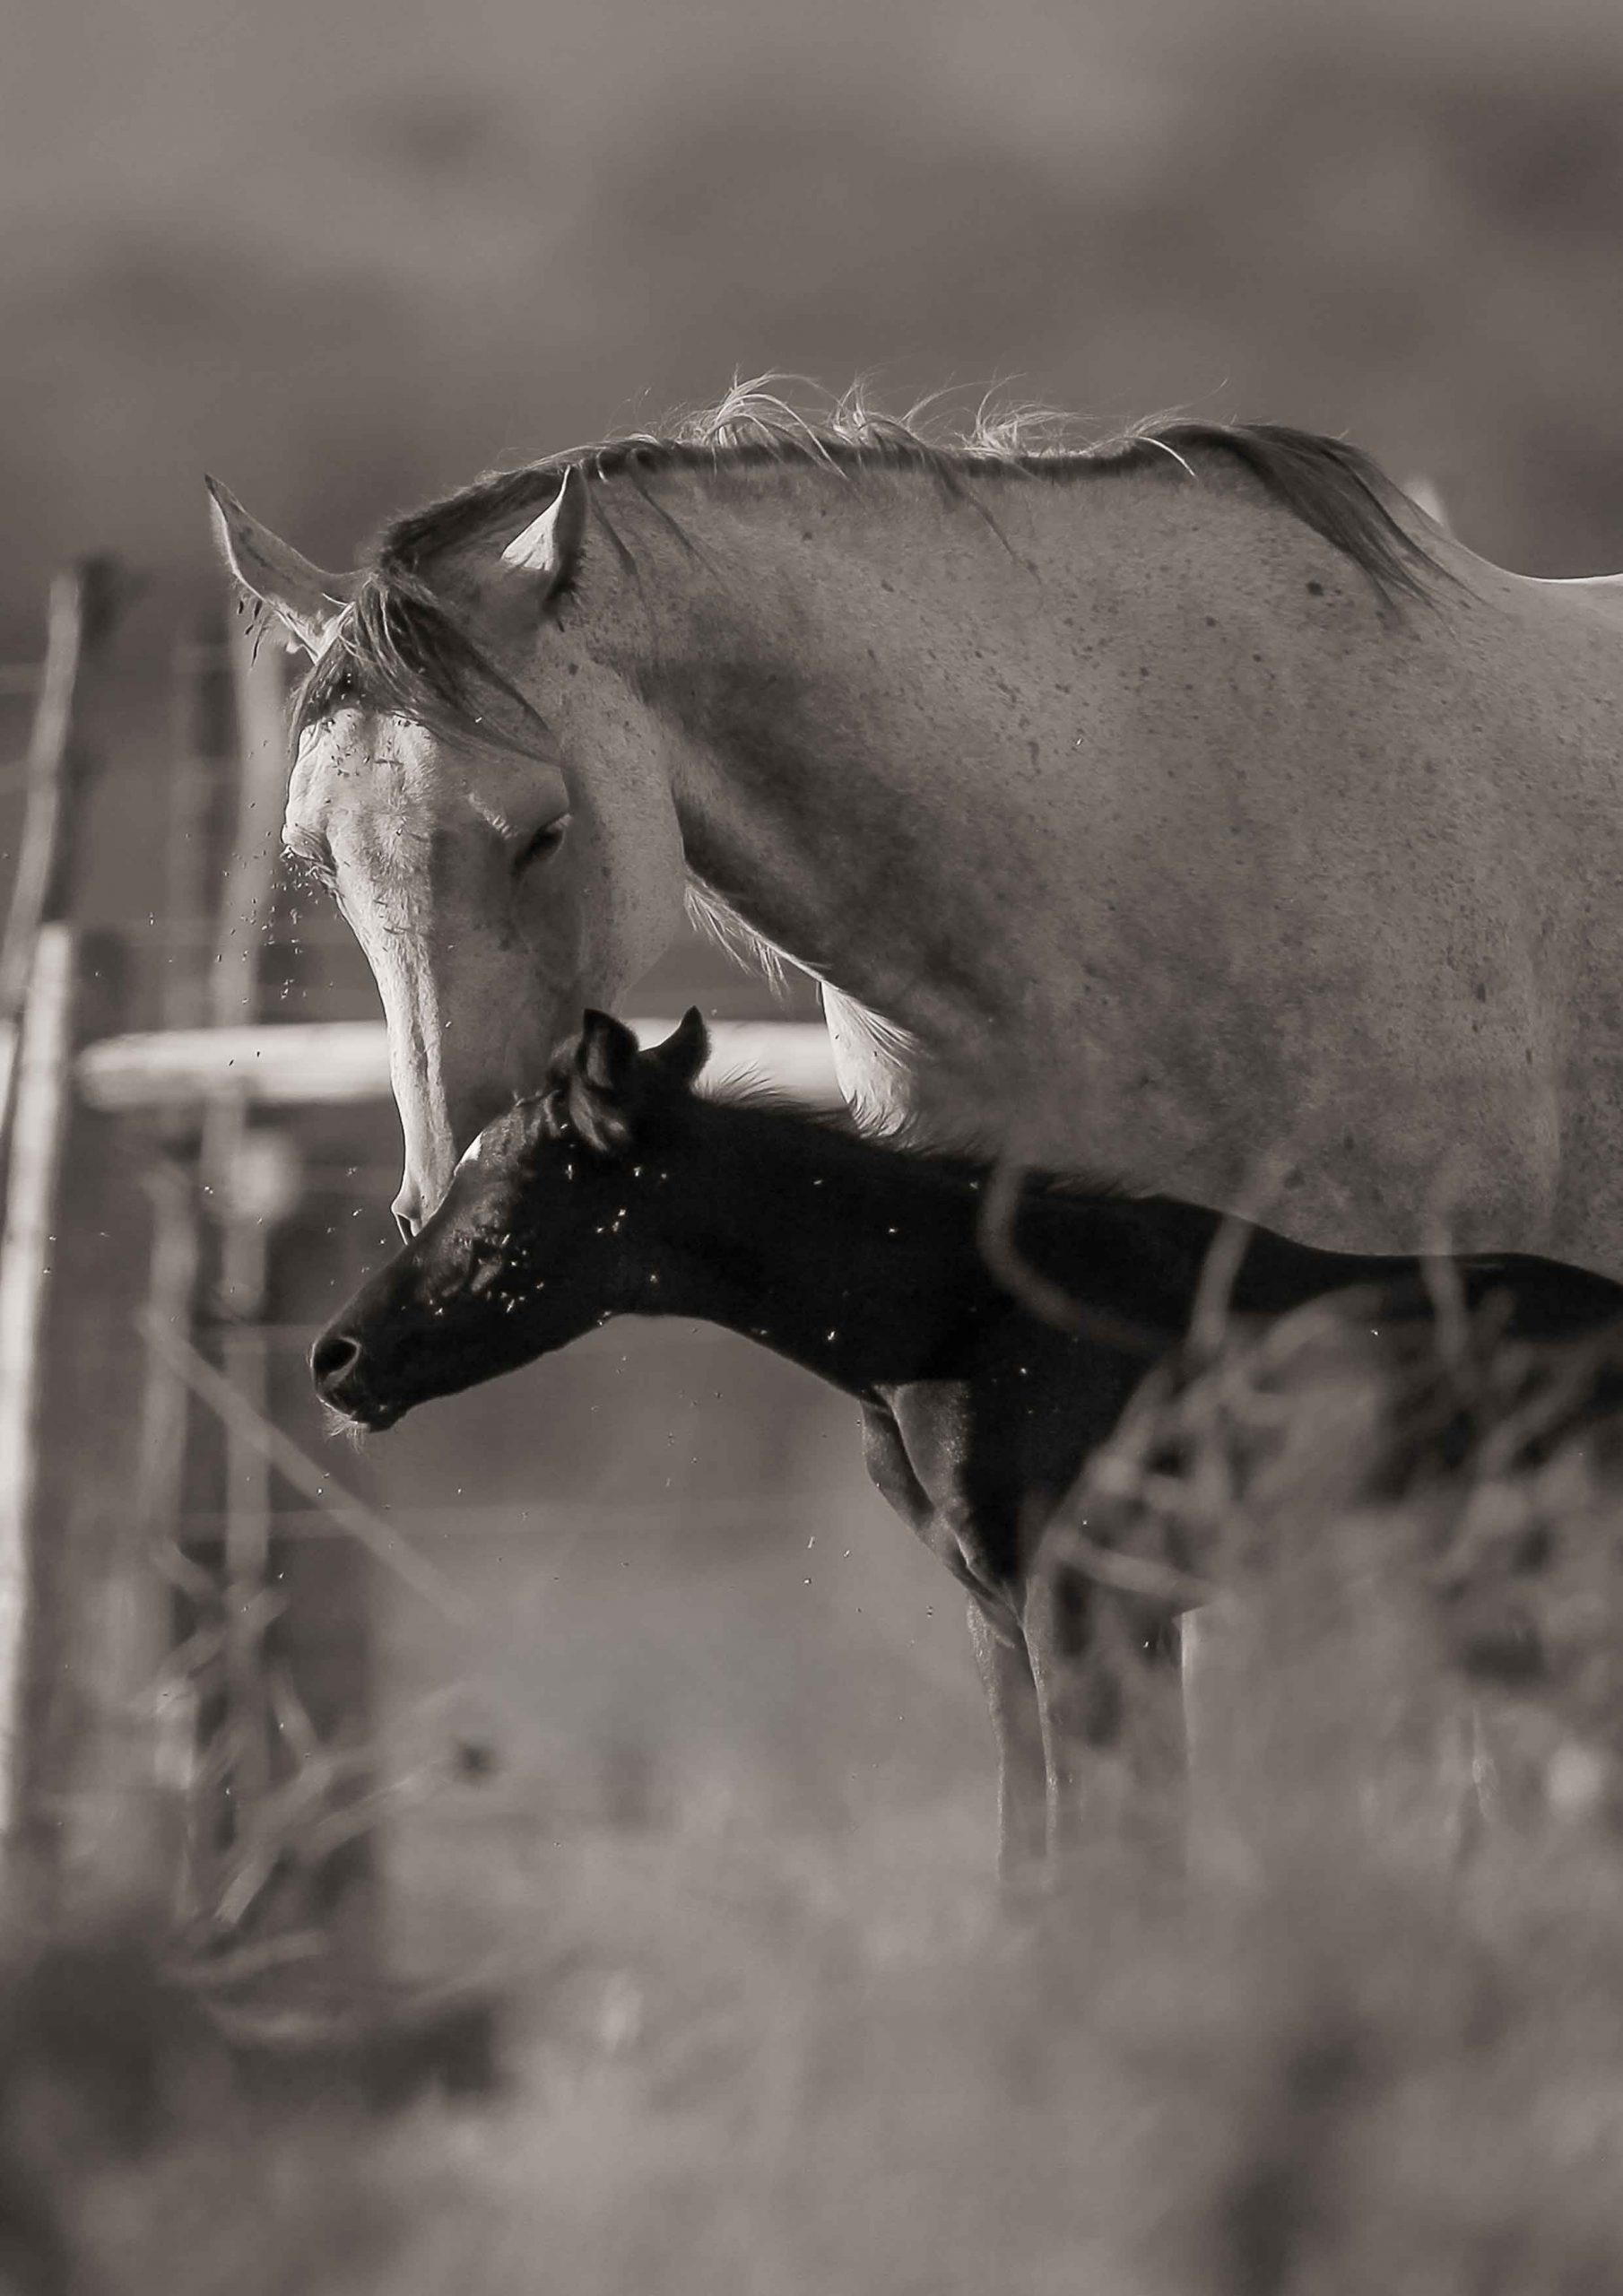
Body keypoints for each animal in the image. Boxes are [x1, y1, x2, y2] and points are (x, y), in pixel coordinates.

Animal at [310, 1010, 1623, 1879]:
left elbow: (1103, 1846)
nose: (337, 1357)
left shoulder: (1079, 1597)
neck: (952, 1323)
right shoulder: (1001, 1608)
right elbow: (1037, 1847)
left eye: (495, 1215)